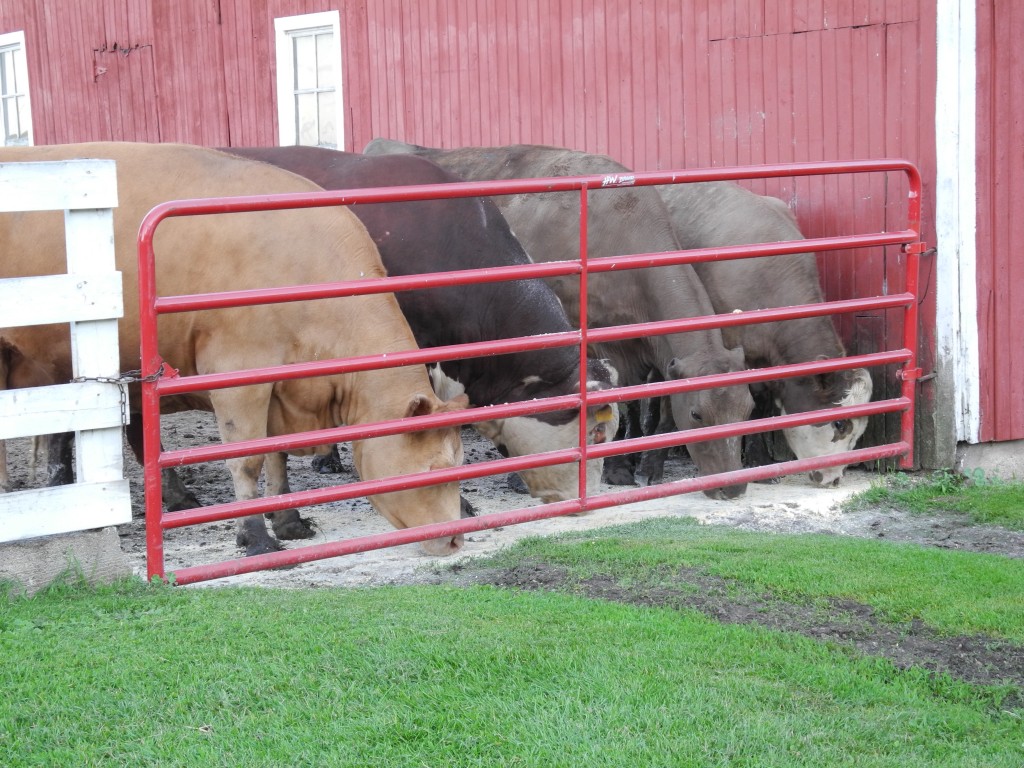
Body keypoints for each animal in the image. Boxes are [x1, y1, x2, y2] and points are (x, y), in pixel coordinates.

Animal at [0, 141, 468, 557]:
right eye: (434, 470)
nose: (455, 539)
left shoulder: (280, 385)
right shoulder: (239, 377)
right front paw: (255, 536)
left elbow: (277, 455)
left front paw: (288, 520)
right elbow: (246, 459)